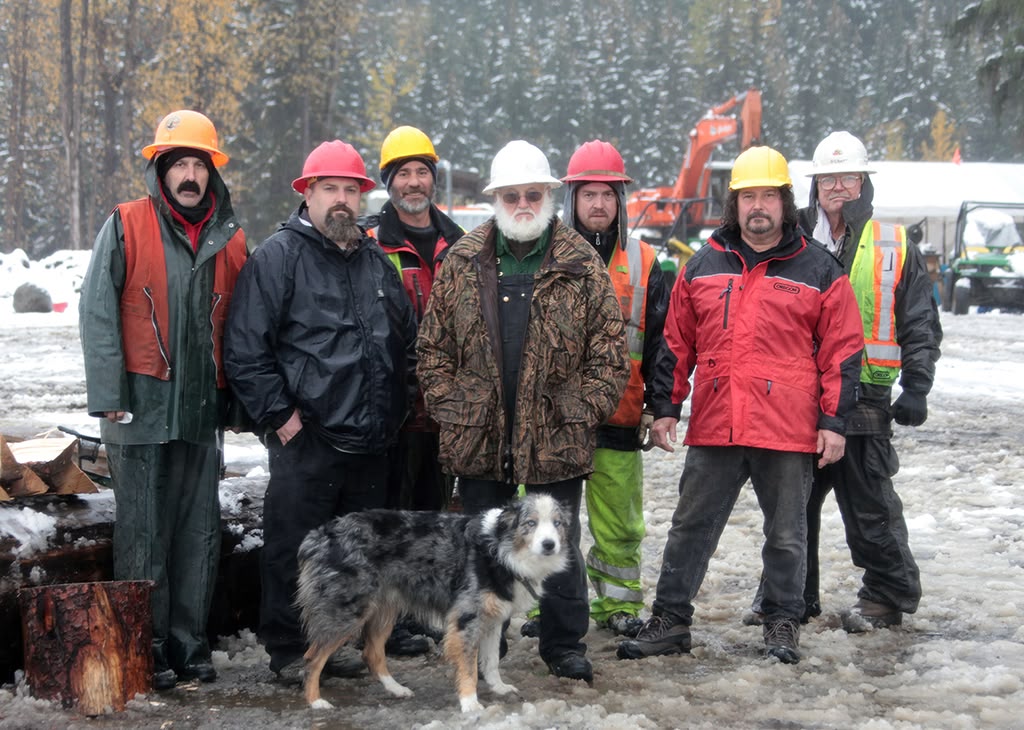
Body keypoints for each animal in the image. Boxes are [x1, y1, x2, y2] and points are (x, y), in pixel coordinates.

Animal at [295, 493, 569, 713]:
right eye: (530, 523)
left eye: (557, 524)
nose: (549, 544)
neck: (501, 549)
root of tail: (317, 536)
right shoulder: (467, 618)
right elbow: (469, 667)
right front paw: (470, 703)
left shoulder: (492, 619)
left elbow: (491, 661)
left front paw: (499, 688)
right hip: (347, 611)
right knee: (312, 657)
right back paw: (315, 702)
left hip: (384, 609)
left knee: (371, 653)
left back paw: (396, 689)